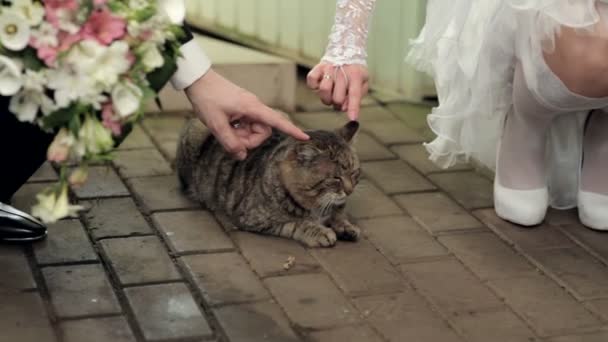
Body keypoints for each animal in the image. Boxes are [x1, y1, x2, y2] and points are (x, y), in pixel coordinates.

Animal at [176, 119, 360, 247]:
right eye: (335, 178)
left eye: (354, 173)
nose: (350, 191)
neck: (315, 203)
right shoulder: (254, 218)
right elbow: (297, 223)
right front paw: (319, 231)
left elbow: (338, 215)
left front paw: (345, 226)